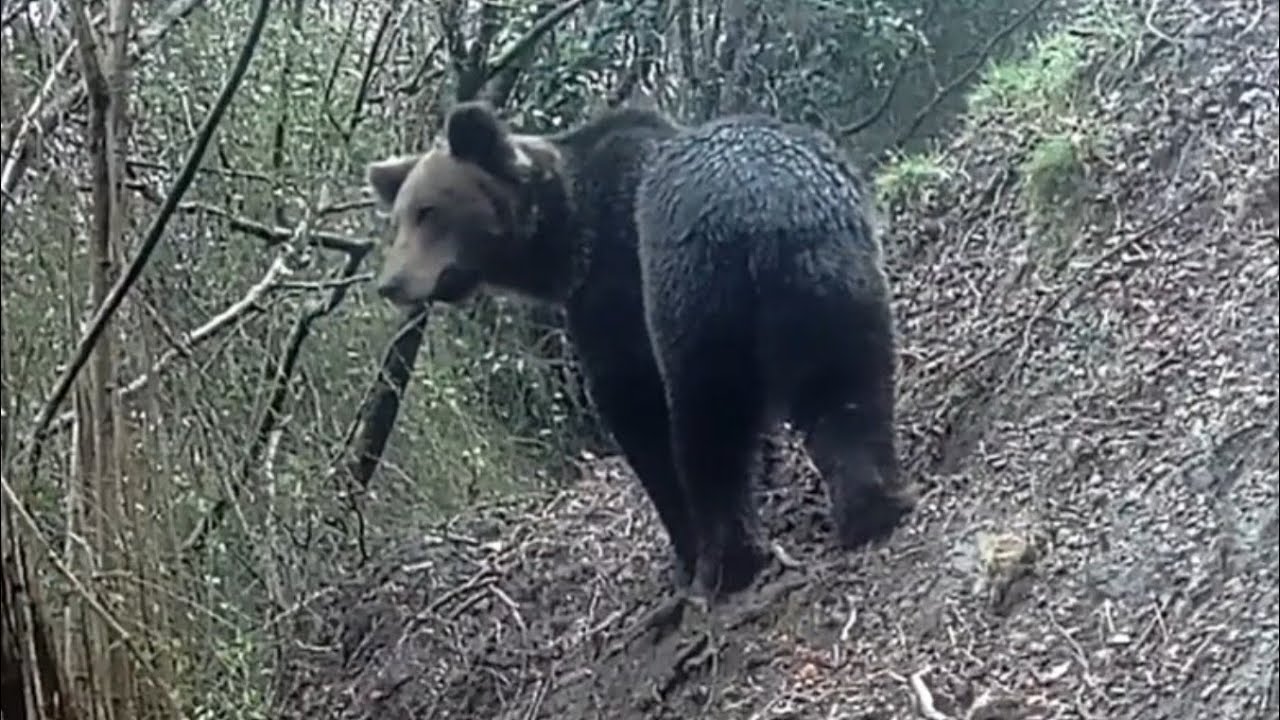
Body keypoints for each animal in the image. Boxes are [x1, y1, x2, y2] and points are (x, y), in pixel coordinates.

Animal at [366, 101, 914, 599]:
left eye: (429, 211)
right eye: (399, 220)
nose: (390, 283)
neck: (566, 239)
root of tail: (767, 213)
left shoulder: (617, 284)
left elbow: (638, 413)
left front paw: (684, 551)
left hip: (694, 293)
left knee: (709, 422)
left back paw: (726, 564)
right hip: (833, 274)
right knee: (848, 386)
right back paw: (874, 505)